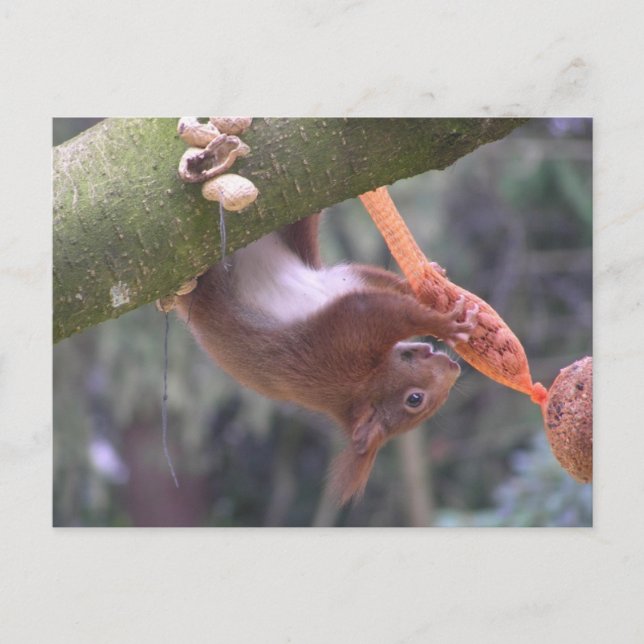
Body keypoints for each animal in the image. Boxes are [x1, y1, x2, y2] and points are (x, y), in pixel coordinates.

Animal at [175, 213, 478, 505]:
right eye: (415, 399)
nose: (453, 369)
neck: (366, 383)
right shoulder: (347, 342)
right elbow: (394, 311)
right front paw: (445, 325)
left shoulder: (347, 283)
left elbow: (384, 285)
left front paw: (424, 288)